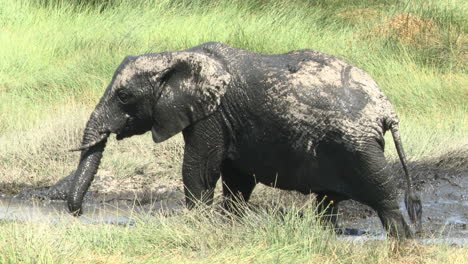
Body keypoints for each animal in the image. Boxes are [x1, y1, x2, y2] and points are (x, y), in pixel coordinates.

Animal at [67, 41, 422, 239]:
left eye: (124, 96)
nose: (78, 213)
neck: (176, 56)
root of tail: (387, 110)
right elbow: (237, 177)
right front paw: (229, 226)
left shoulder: (212, 115)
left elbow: (200, 169)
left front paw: (197, 225)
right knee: (327, 202)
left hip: (358, 148)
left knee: (384, 197)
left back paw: (402, 240)